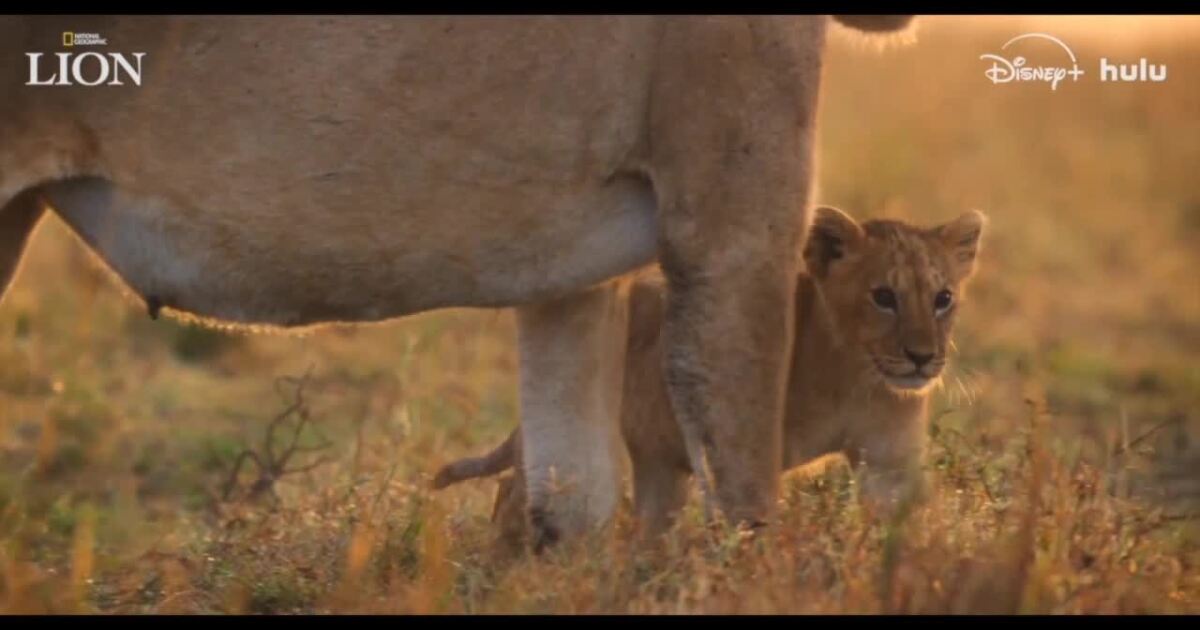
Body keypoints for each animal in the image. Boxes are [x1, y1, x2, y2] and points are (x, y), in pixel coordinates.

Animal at [434, 206, 986, 543]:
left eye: (943, 299)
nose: (921, 357)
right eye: (883, 297)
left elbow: (901, 521)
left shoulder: (890, 458)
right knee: (522, 488)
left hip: (658, 462)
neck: (851, 375)